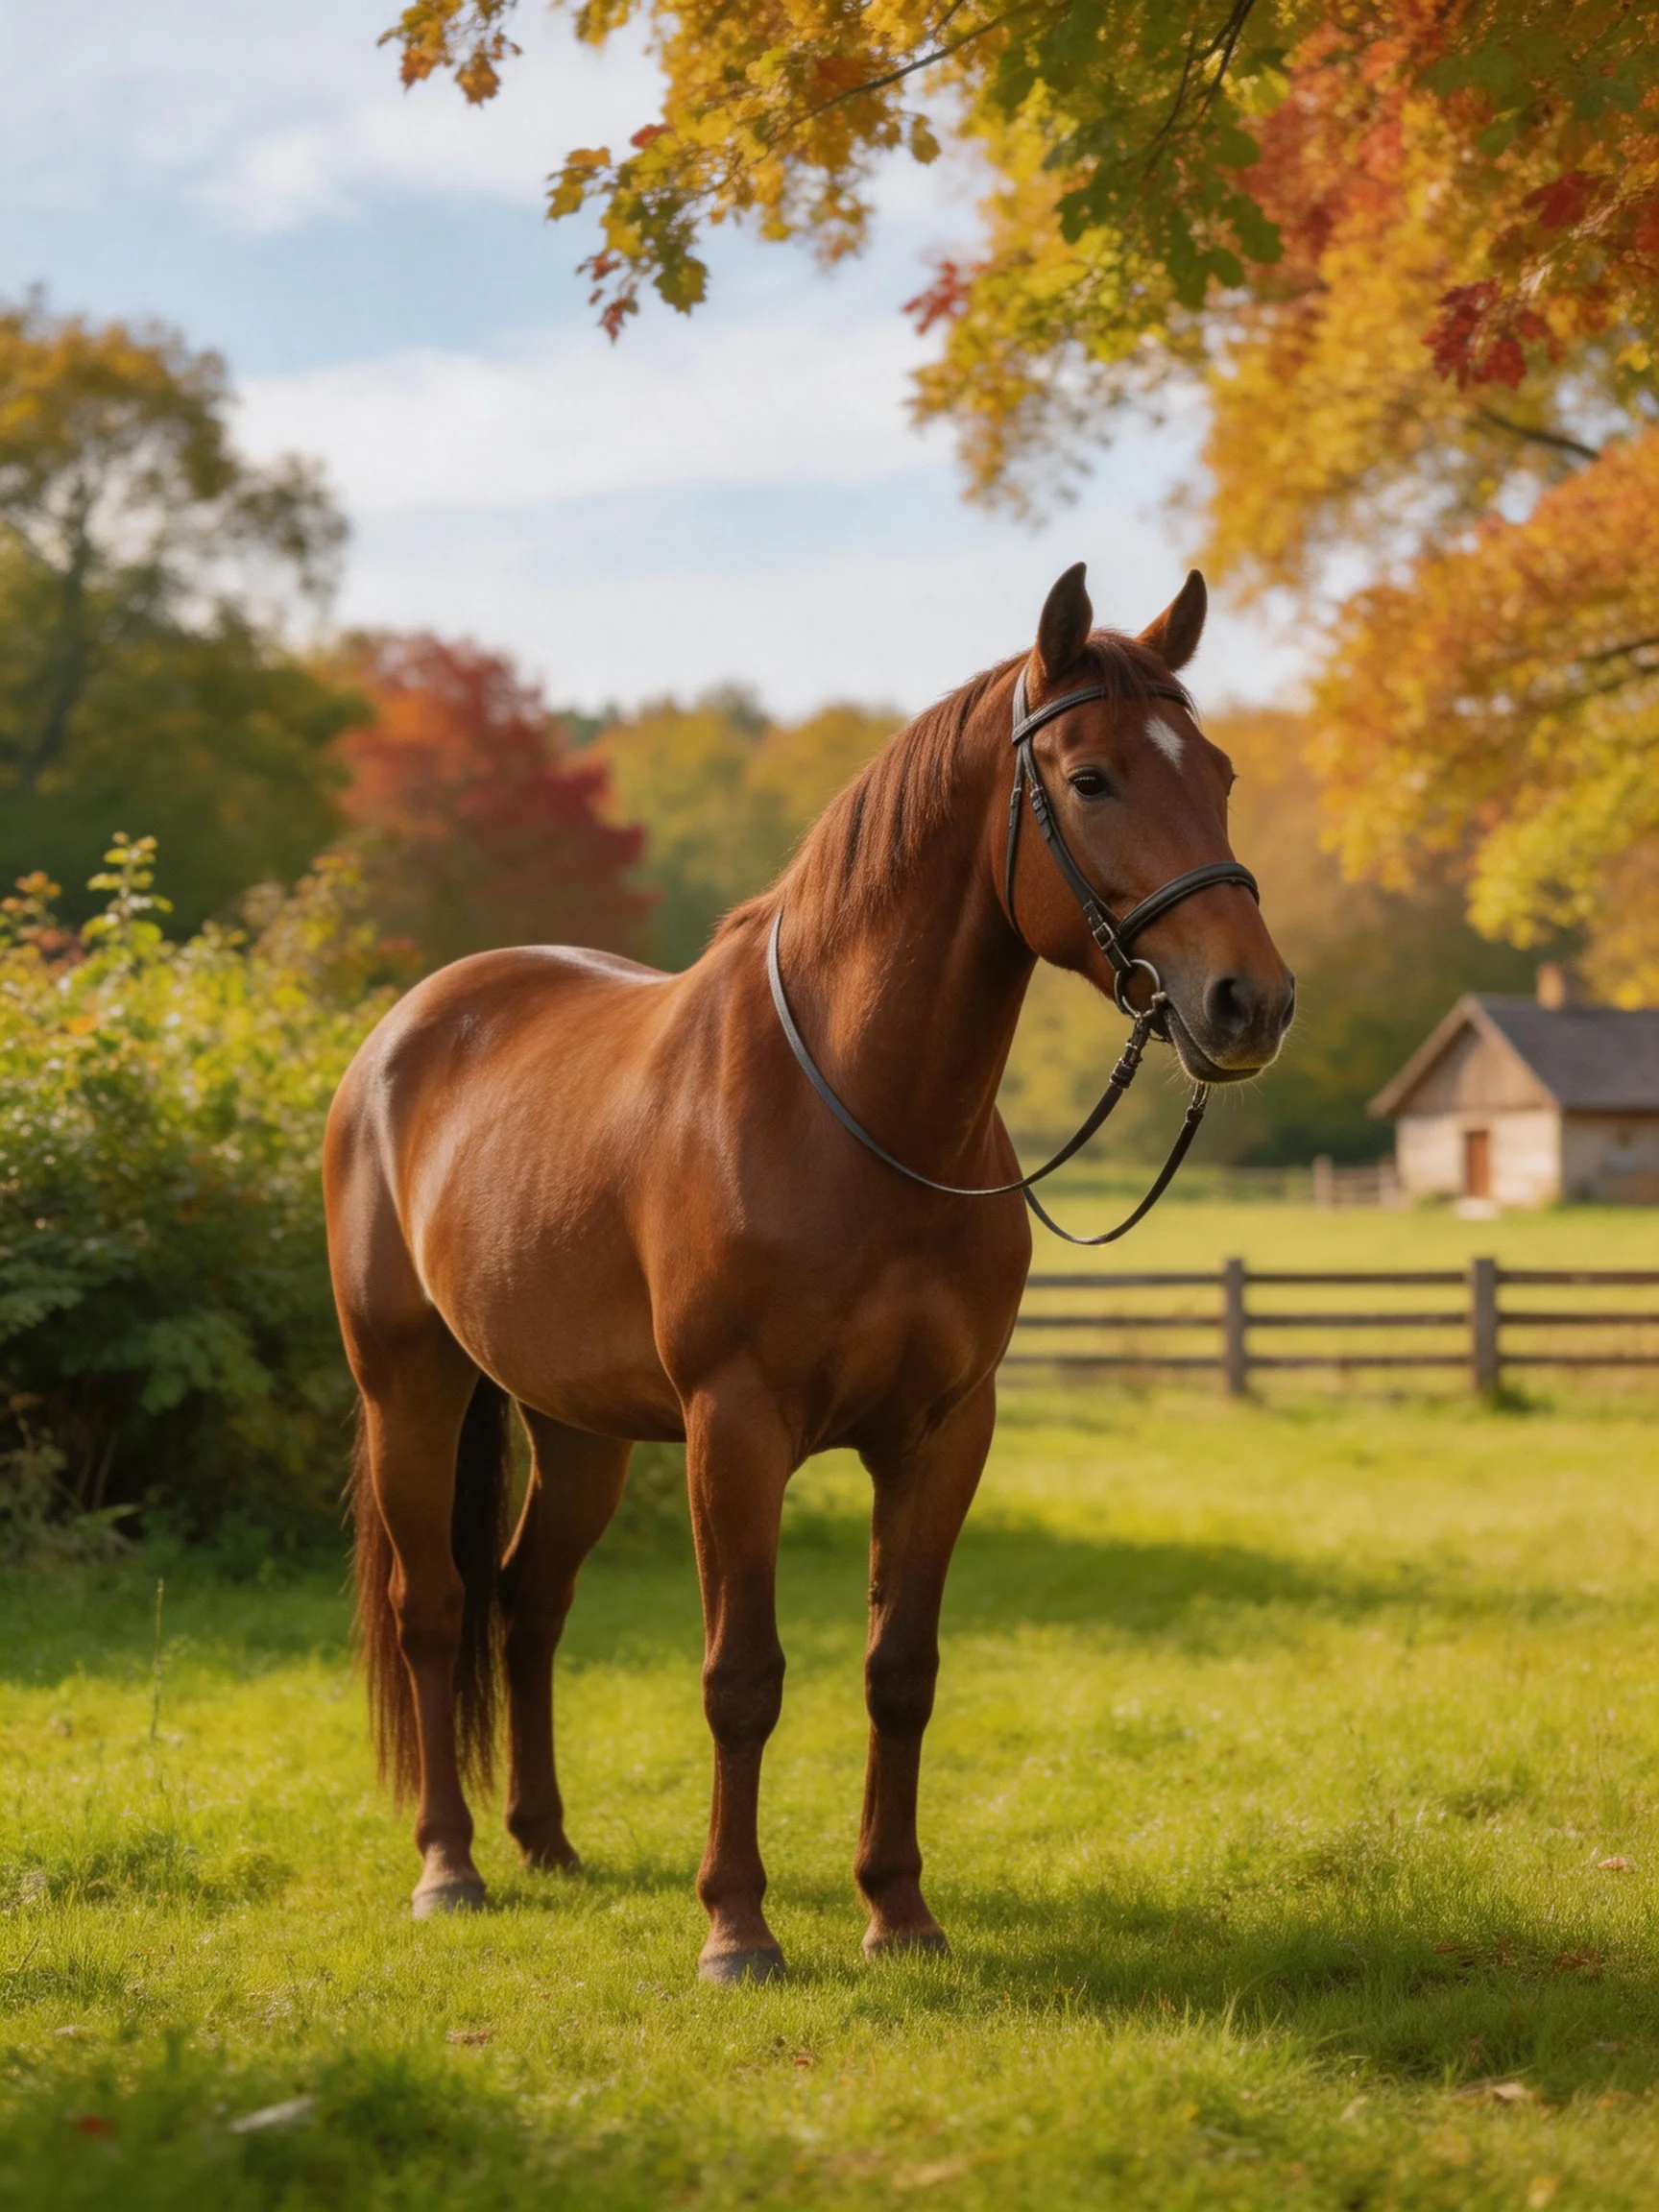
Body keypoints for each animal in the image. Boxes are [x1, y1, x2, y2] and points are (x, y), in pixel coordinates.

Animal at [323, 561, 1295, 1981]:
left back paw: (545, 1842)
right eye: (1092, 778)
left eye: (1215, 773)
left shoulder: (942, 1434)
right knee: (436, 1609)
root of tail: (402, 1031)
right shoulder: (737, 1429)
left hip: (579, 1430)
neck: (862, 1113)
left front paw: (899, 1911)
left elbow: (902, 1670)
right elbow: (743, 1677)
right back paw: (450, 1867)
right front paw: (737, 1927)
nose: (1249, 1001)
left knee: (529, 1601)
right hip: (412, 1389)